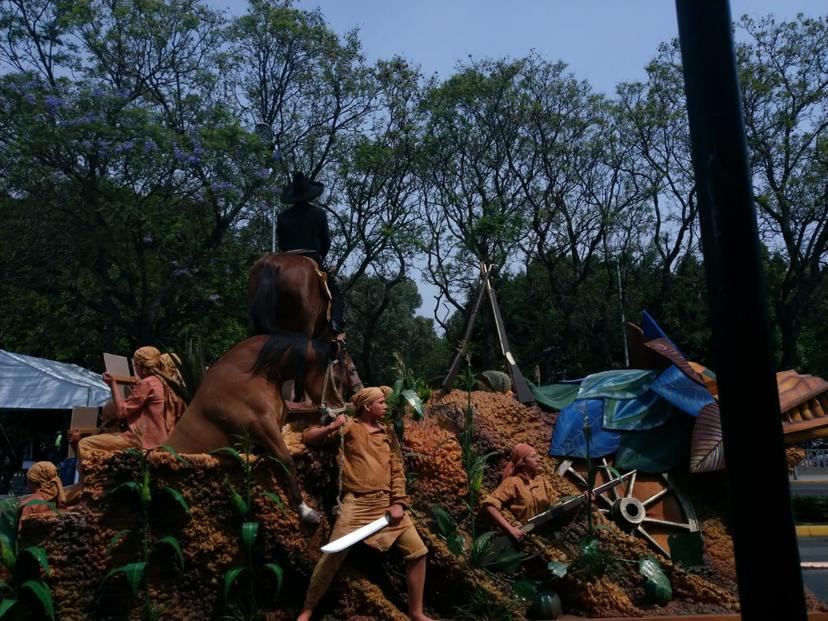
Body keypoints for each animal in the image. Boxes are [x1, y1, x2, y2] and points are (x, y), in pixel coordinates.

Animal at [167, 334, 330, 524]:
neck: (250, 375)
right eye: (343, 373)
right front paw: (306, 511)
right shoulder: (263, 426)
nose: (334, 413)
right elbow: (286, 460)